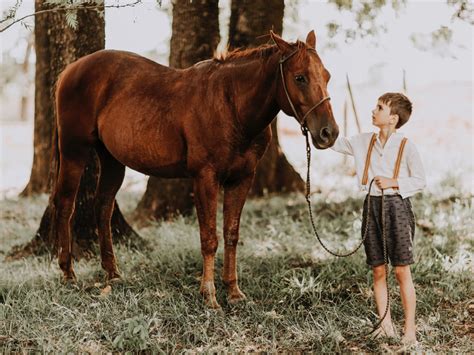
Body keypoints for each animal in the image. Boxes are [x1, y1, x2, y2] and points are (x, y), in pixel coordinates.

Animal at [53, 30, 338, 308]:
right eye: (299, 77)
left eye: (327, 75)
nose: (329, 133)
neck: (231, 106)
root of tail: (70, 70)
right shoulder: (205, 178)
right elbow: (209, 238)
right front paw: (209, 295)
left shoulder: (242, 178)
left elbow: (231, 234)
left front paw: (233, 291)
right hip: (73, 151)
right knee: (65, 204)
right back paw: (68, 273)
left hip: (112, 160)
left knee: (103, 206)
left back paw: (112, 273)